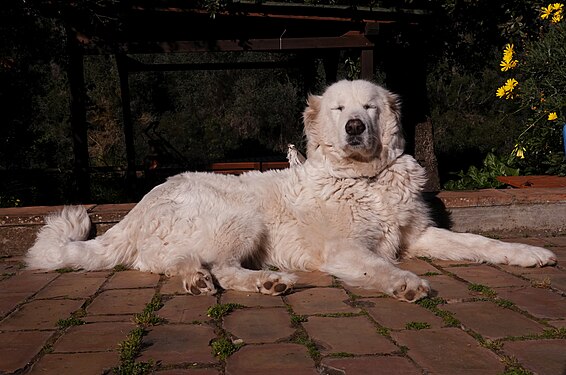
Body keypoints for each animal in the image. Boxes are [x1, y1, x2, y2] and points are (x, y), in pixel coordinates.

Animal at [27, 79, 560, 302]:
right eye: (339, 109)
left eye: (370, 107)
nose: (354, 126)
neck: (364, 181)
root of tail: (139, 206)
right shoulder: (346, 249)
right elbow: (379, 266)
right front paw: (404, 284)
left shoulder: (419, 236)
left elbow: (478, 242)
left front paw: (527, 253)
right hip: (239, 215)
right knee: (203, 263)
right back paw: (237, 281)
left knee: (196, 264)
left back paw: (247, 281)